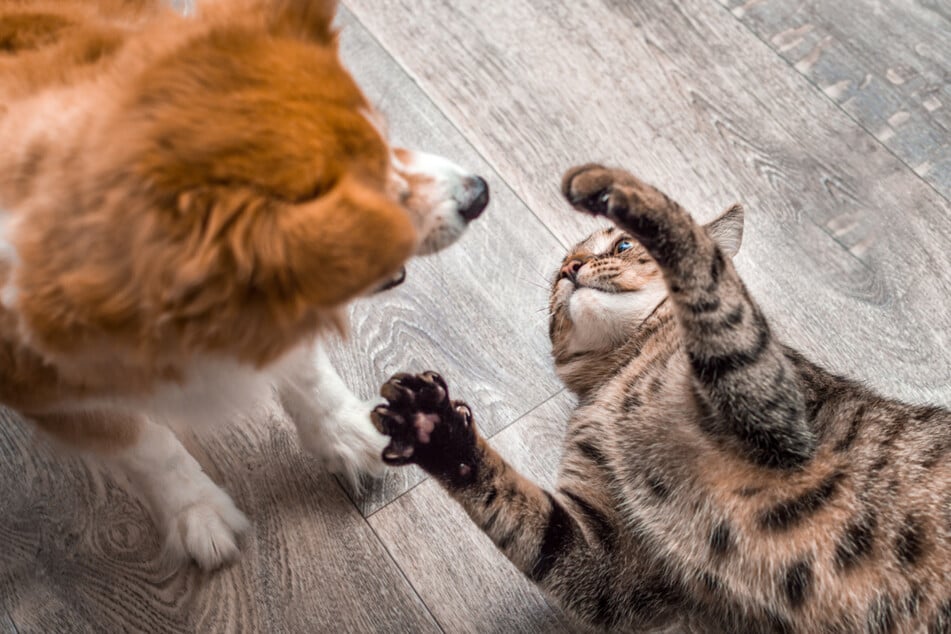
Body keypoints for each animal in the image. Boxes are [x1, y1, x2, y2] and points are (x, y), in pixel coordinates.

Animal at [0, 0, 488, 568]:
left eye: (386, 137)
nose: (480, 193)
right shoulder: (44, 391)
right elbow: (146, 446)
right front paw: (196, 511)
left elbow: (306, 372)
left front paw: (345, 432)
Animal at [372, 164, 951, 632]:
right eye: (558, 272)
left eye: (622, 246)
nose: (570, 269)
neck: (621, 370)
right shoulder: (612, 561)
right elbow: (526, 516)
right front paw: (434, 429)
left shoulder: (779, 419)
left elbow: (698, 260)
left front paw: (616, 186)